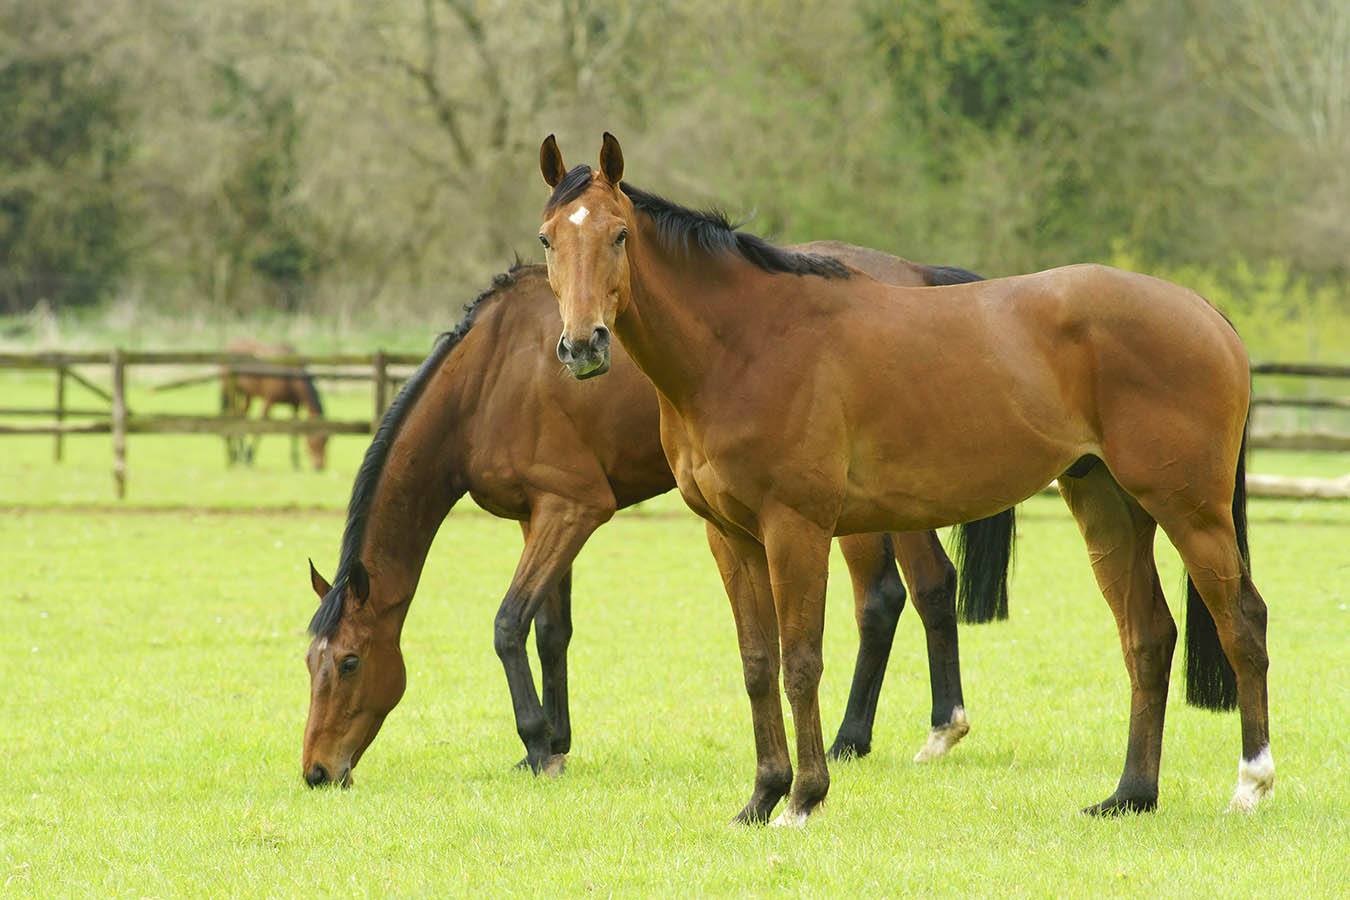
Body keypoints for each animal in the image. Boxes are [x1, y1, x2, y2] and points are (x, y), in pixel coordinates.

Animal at [221, 339, 328, 471]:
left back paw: (238, 455)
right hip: (230, 391)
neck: (289, 376)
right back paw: (234, 456)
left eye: (327, 440)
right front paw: (250, 457)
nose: (320, 467)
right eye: (316, 440)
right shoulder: (269, 400)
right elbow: (260, 429)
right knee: (231, 417)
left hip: (247, 394)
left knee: (241, 416)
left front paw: (295, 462)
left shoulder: (295, 406)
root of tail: (229, 345)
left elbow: (295, 433)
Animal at [301, 253, 1015, 788]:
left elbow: (508, 625)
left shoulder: (573, 509)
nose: (316, 772)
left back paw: (869, 735)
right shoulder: (541, 518)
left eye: (350, 663)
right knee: (924, 588)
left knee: (891, 597)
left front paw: (535, 745)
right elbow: (550, 631)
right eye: (309, 664)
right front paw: (556, 741)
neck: (490, 378)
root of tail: (916, 276)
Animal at [535, 134, 1270, 824]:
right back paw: (1130, 796)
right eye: (548, 238)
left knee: (1243, 623)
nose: (582, 346)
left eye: (619, 234)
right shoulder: (730, 537)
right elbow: (757, 666)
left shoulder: (796, 529)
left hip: (1191, 511)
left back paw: (1250, 786)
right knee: (1148, 637)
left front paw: (803, 800)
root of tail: (1205, 312)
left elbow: (801, 663)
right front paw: (761, 799)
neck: (747, 343)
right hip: (1109, 508)